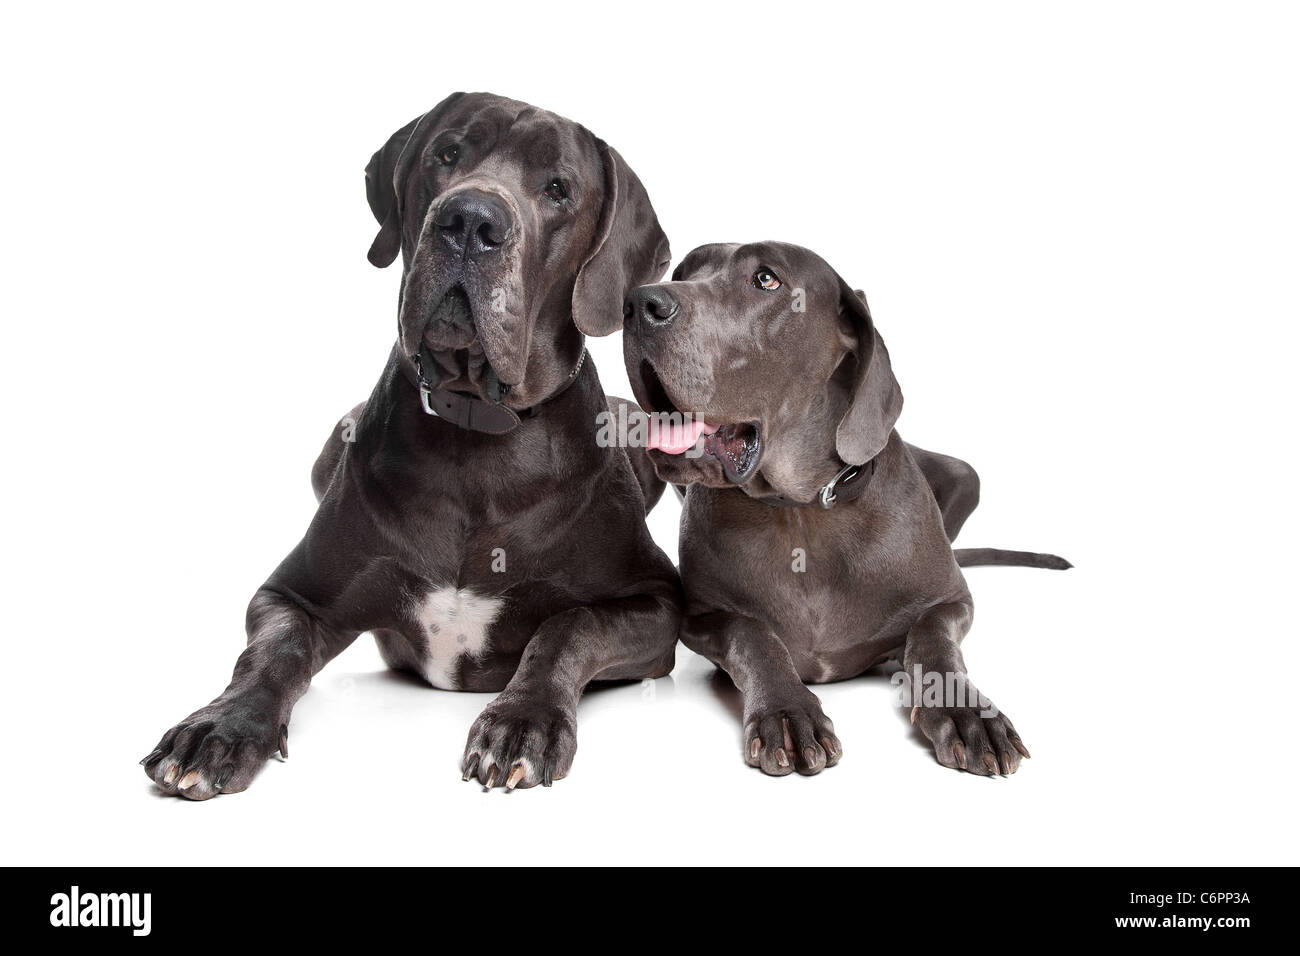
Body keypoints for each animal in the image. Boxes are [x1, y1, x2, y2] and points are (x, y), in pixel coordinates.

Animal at [144, 93, 681, 796]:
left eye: (558, 189)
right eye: (447, 153)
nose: (470, 219)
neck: (475, 429)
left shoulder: (655, 602)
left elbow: (570, 625)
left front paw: (522, 721)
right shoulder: (293, 592)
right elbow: (271, 652)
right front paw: (220, 726)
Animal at [626, 240, 1066, 780]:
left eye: (766, 279)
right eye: (683, 272)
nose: (638, 302)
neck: (801, 509)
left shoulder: (952, 599)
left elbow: (934, 638)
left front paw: (965, 712)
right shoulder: (702, 616)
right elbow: (753, 634)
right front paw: (788, 712)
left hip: (967, 476)